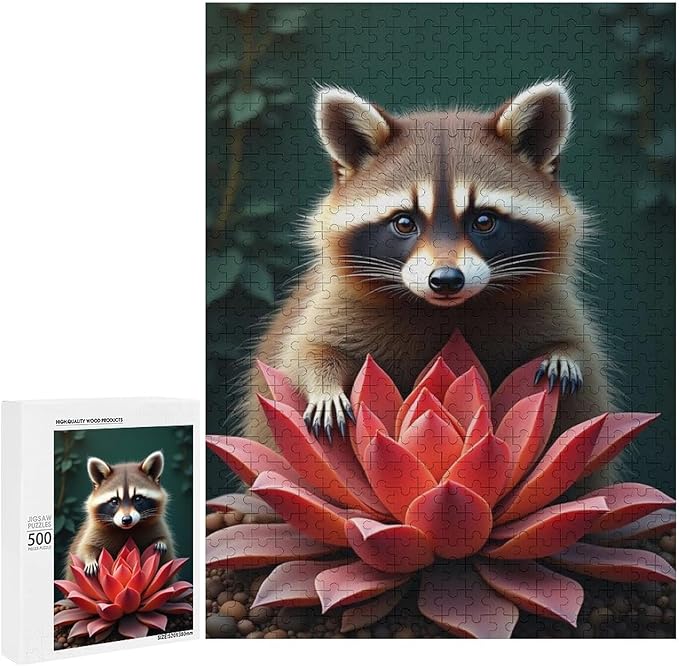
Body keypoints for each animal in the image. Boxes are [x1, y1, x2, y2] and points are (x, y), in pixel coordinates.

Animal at [244, 81, 617, 483]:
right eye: (404, 222)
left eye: (483, 221)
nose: (446, 280)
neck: (445, 311)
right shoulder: (332, 303)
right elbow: (304, 351)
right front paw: (323, 386)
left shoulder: (549, 304)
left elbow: (580, 349)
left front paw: (563, 354)